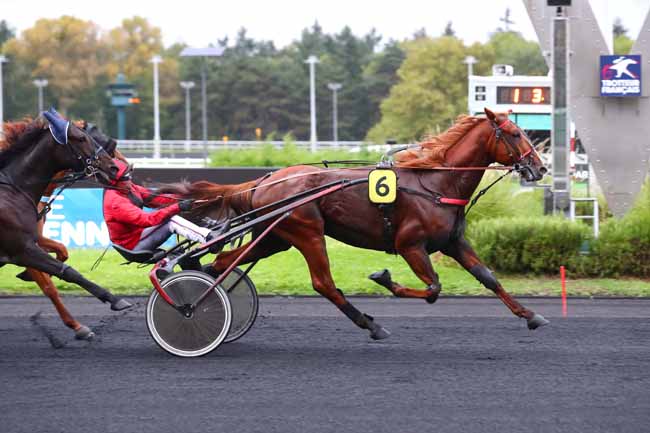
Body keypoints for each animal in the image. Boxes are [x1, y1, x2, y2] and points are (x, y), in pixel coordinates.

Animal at [166, 108, 548, 338]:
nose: (540, 168)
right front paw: (384, 278)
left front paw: (531, 315)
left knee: (222, 262)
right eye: (515, 134)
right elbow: (433, 289)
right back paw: (369, 324)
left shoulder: (453, 243)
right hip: (307, 232)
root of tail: (266, 179)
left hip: (276, 237)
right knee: (323, 283)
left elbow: (488, 277)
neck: (437, 184)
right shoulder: (410, 245)